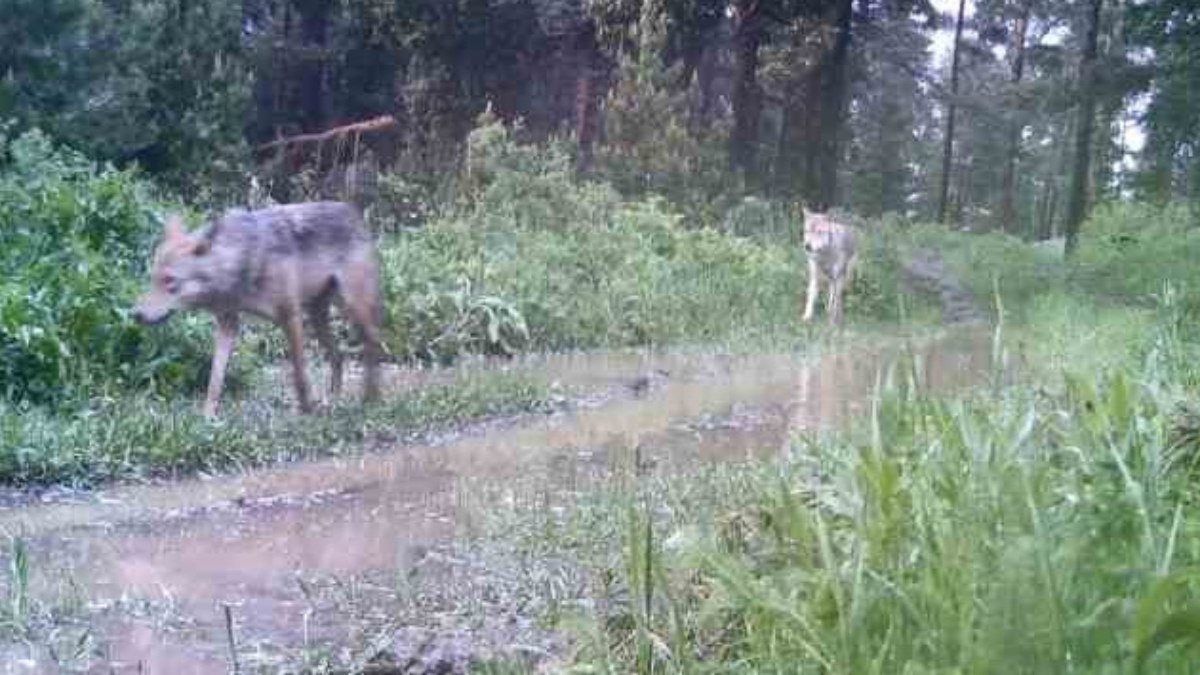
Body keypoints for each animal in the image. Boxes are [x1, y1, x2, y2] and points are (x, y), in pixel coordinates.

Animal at [138, 199, 386, 415]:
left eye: (170, 281)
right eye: (153, 279)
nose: (136, 314)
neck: (239, 263)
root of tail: (352, 212)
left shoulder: (290, 316)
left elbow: (299, 373)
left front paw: (306, 409)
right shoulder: (227, 325)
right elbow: (215, 380)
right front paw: (207, 417)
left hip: (352, 310)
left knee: (373, 342)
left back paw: (371, 399)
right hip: (317, 317)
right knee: (339, 356)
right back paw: (333, 400)